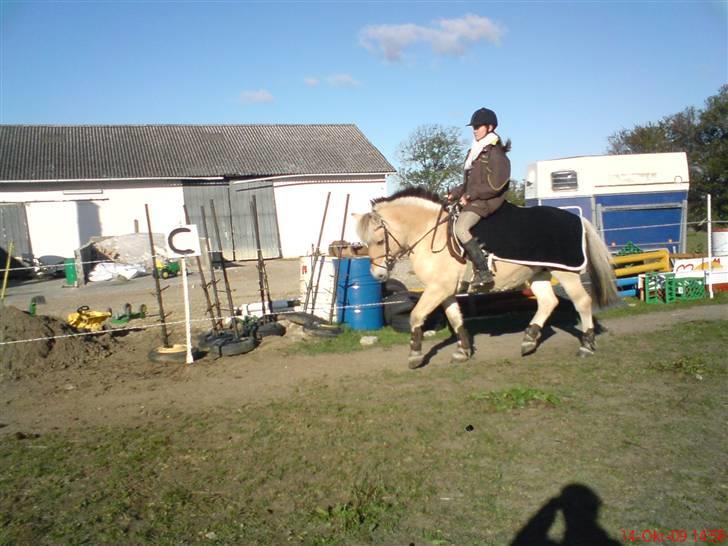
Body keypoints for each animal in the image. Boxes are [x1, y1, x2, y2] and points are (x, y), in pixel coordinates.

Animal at [352, 185, 620, 368]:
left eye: (379, 241)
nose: (377, 274)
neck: (430, 233)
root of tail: (577, 218)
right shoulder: (445, 291)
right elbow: (456, 320)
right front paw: (463, 352)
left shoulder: (438, 289)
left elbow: (416, 315)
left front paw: (415, 355)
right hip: (538, 273)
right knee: (548, 302)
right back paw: (529, 340)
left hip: (565, 272)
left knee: (582, 302)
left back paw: (586, 346)